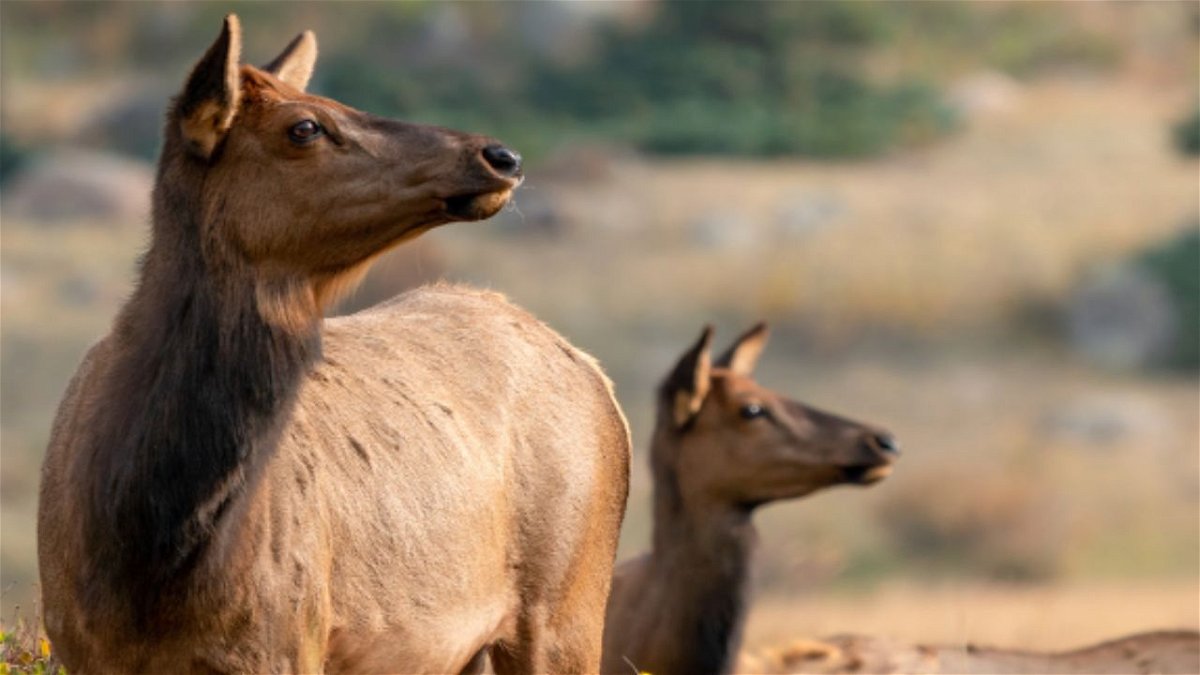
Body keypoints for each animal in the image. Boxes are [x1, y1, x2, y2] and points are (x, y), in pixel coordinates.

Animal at [36, 15, 633, 672]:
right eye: (305, 126)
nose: (501, 154)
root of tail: (595, 373)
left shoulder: (283, 642)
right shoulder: (77, 645)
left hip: (567, 606)